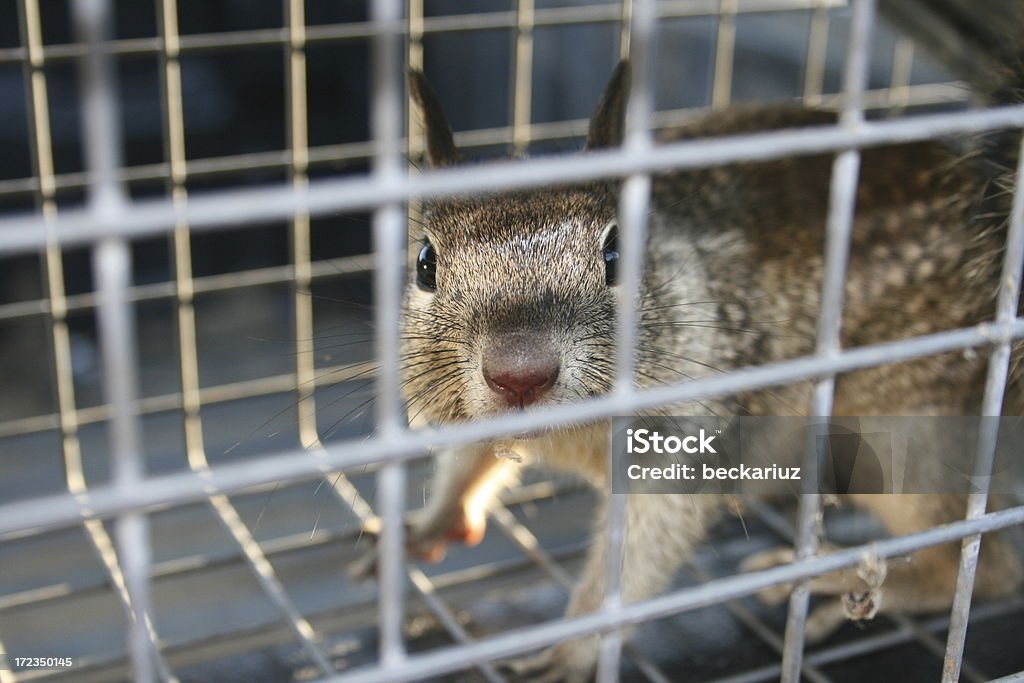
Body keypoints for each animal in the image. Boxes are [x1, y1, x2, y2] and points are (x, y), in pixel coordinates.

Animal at [354, 6, 1024, 683]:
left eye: (617, 255)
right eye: (424, 263)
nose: (521, 374)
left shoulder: (681, 447)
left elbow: (633, 565)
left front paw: (569, 651)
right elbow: (465, 462)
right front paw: (428, 524)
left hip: (908, 431)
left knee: (985, 568)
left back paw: (832, 580)